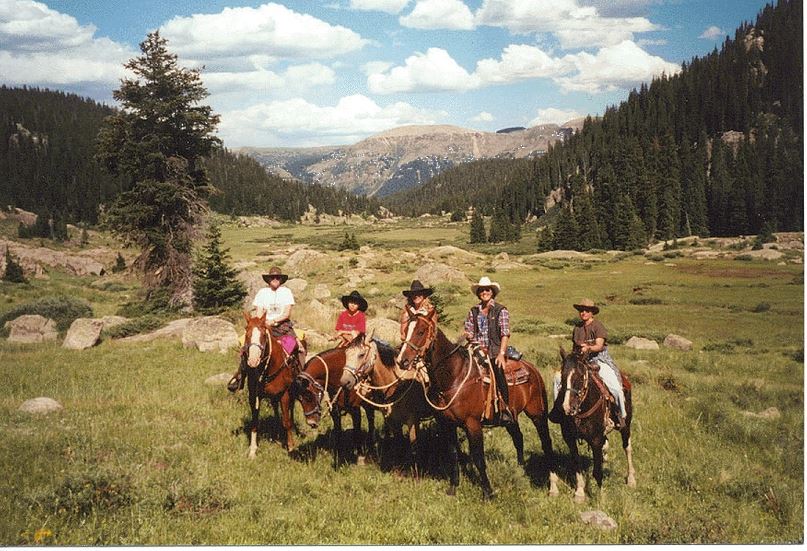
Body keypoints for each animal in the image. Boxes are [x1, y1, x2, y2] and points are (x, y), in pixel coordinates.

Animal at [241, 312, 298, 458]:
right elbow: (255, 422)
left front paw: (290, 446)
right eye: (247, 333)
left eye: (263, 335)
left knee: (290, 412)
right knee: (276, 411)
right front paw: (253, 450)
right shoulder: (254, 396)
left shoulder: (284, 394)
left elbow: (286, 421)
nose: (253, 361)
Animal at [342, 334, 432, 469]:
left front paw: (416, 470)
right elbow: (399, 442)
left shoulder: (412, 420)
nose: (344, 381)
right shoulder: (393, 421)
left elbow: (414, 446)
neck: (397, 384)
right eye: (346, 353)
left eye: (361, 355)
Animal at [396, 309, 556, 499]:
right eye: (405, 330)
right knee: (518, 438)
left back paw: (551, 478)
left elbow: (479, 458)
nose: (402, 361)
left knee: (546, 441)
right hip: (511, 418)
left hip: (537, 413)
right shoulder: (447, 424)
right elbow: (453, 455)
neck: (454, 377)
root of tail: (532, 368)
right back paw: (520, 469)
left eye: (420, 332)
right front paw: (453, 487)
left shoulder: (473, 424)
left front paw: (488, 491)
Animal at [556, 346, 636, 502]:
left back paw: (631, 479)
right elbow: (577, 464)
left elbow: (597, 471)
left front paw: (600, 497)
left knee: (627, 448)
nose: (567, 407)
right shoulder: (570, 439)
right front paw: (580, 493)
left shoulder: (596, 440)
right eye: (562, 375)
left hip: (626, 425)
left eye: (580, 376)